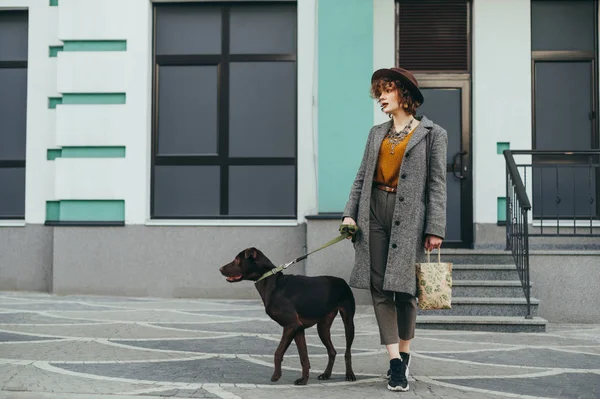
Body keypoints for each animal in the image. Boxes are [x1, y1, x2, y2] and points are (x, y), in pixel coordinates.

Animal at [220, 248, 356, 386]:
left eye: (237, 259)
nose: (220, 269)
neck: (270, 282)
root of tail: (342, 281)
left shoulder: (291, 325)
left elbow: (278, 352)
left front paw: (276, 375)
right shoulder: (298, 329)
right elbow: (304, 357)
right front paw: (304, 380)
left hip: (348, 322)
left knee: (348, 352)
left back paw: (350, 375)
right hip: (323, 327)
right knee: (332, 351)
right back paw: (326, 374)